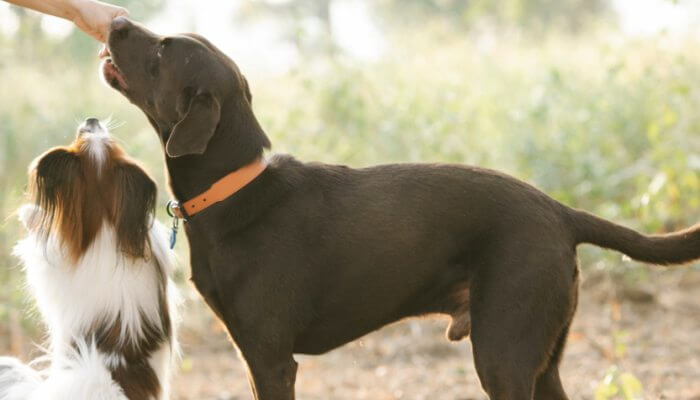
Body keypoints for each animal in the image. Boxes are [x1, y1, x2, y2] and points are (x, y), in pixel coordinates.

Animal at [104, 17, 700, 398]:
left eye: (162, 52)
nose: (117, 22)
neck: (236, 189)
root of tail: (560, 211)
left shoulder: (271, 359)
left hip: (503, 354)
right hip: (541, 358)